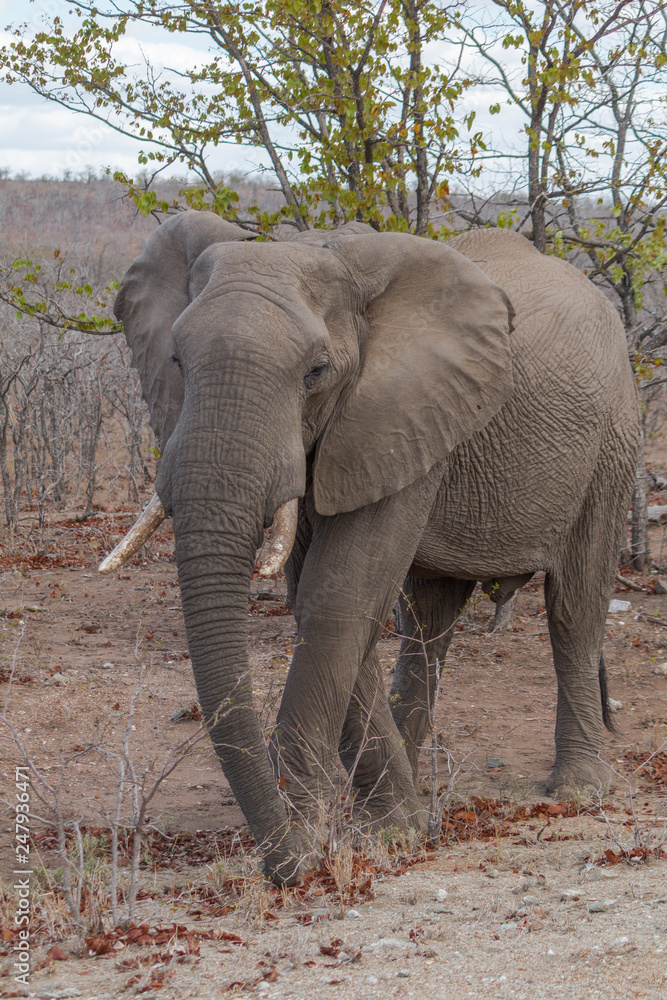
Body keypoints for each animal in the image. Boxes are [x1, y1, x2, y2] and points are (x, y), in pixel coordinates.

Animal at [101, 211, 639, 883]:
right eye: (175, 358)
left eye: (315, 371)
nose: (288, 866)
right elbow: (323, 599)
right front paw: (396, 827)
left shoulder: (395, 413)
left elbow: (337, 596)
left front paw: (332, 839)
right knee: (428, 623)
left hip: (612, 439)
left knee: (573, 606)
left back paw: (578, 789)